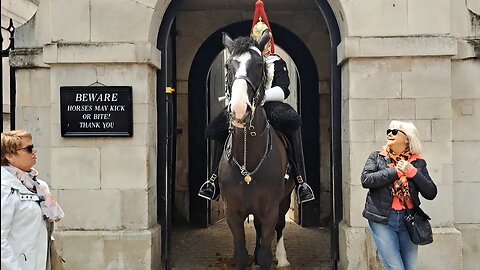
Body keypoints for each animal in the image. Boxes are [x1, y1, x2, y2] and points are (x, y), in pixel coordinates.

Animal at [218, 30, 294, 268]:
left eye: (260, 65)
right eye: (228, 65)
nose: (239, 109)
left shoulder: (270, 209)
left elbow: (266, 251)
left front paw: (269, 258)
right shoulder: (232, 213)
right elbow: (241, 255)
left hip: (283, 201)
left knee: (279, 228)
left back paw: (283, 258)